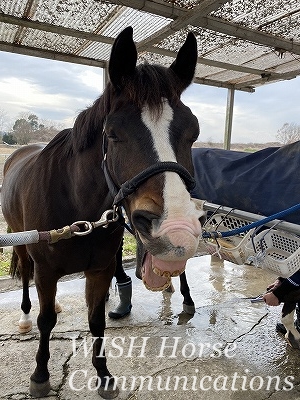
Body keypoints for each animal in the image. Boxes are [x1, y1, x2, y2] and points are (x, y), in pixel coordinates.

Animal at [0, 26, 204, 398]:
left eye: (193, 131)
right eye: (113, 133)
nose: (176, 230)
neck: (78, 210)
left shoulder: (100, 270)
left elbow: (96, 320)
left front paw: (104, 375)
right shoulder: (46, 271)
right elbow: (46, 321)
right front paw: (40, 374)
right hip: (20, 240)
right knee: (24, 277)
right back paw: (23, 316)